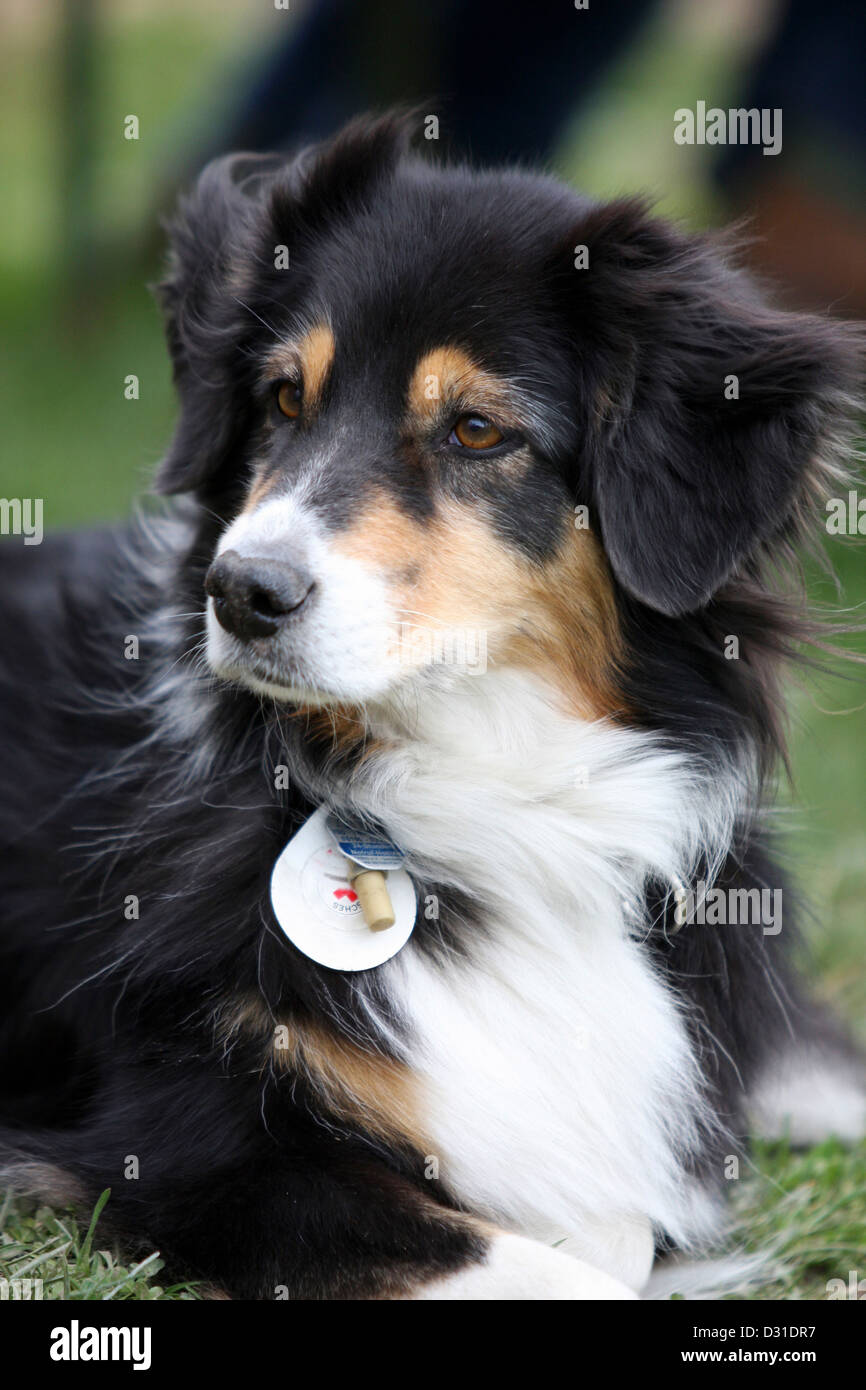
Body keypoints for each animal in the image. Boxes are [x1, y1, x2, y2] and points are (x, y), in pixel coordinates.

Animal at [1, 113, 866, 1295]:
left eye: (476, 431)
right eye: (283, 399)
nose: (242, 592)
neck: (479, 793)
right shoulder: (185, 1150)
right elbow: (561, 1263)